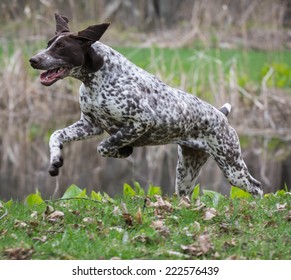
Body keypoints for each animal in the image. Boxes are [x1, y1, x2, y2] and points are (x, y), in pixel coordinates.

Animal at [30, 12, 264, 197]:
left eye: (61, 47)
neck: (96, 78)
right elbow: (56, 135)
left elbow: (104, 146)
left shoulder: (141, 122)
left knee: (257, 188)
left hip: (231, 166)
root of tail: (221, 114)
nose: (33, 59)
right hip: (186, 172)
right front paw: (55, 159)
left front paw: (124, 150)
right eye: (48, 44)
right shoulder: (89, 125)